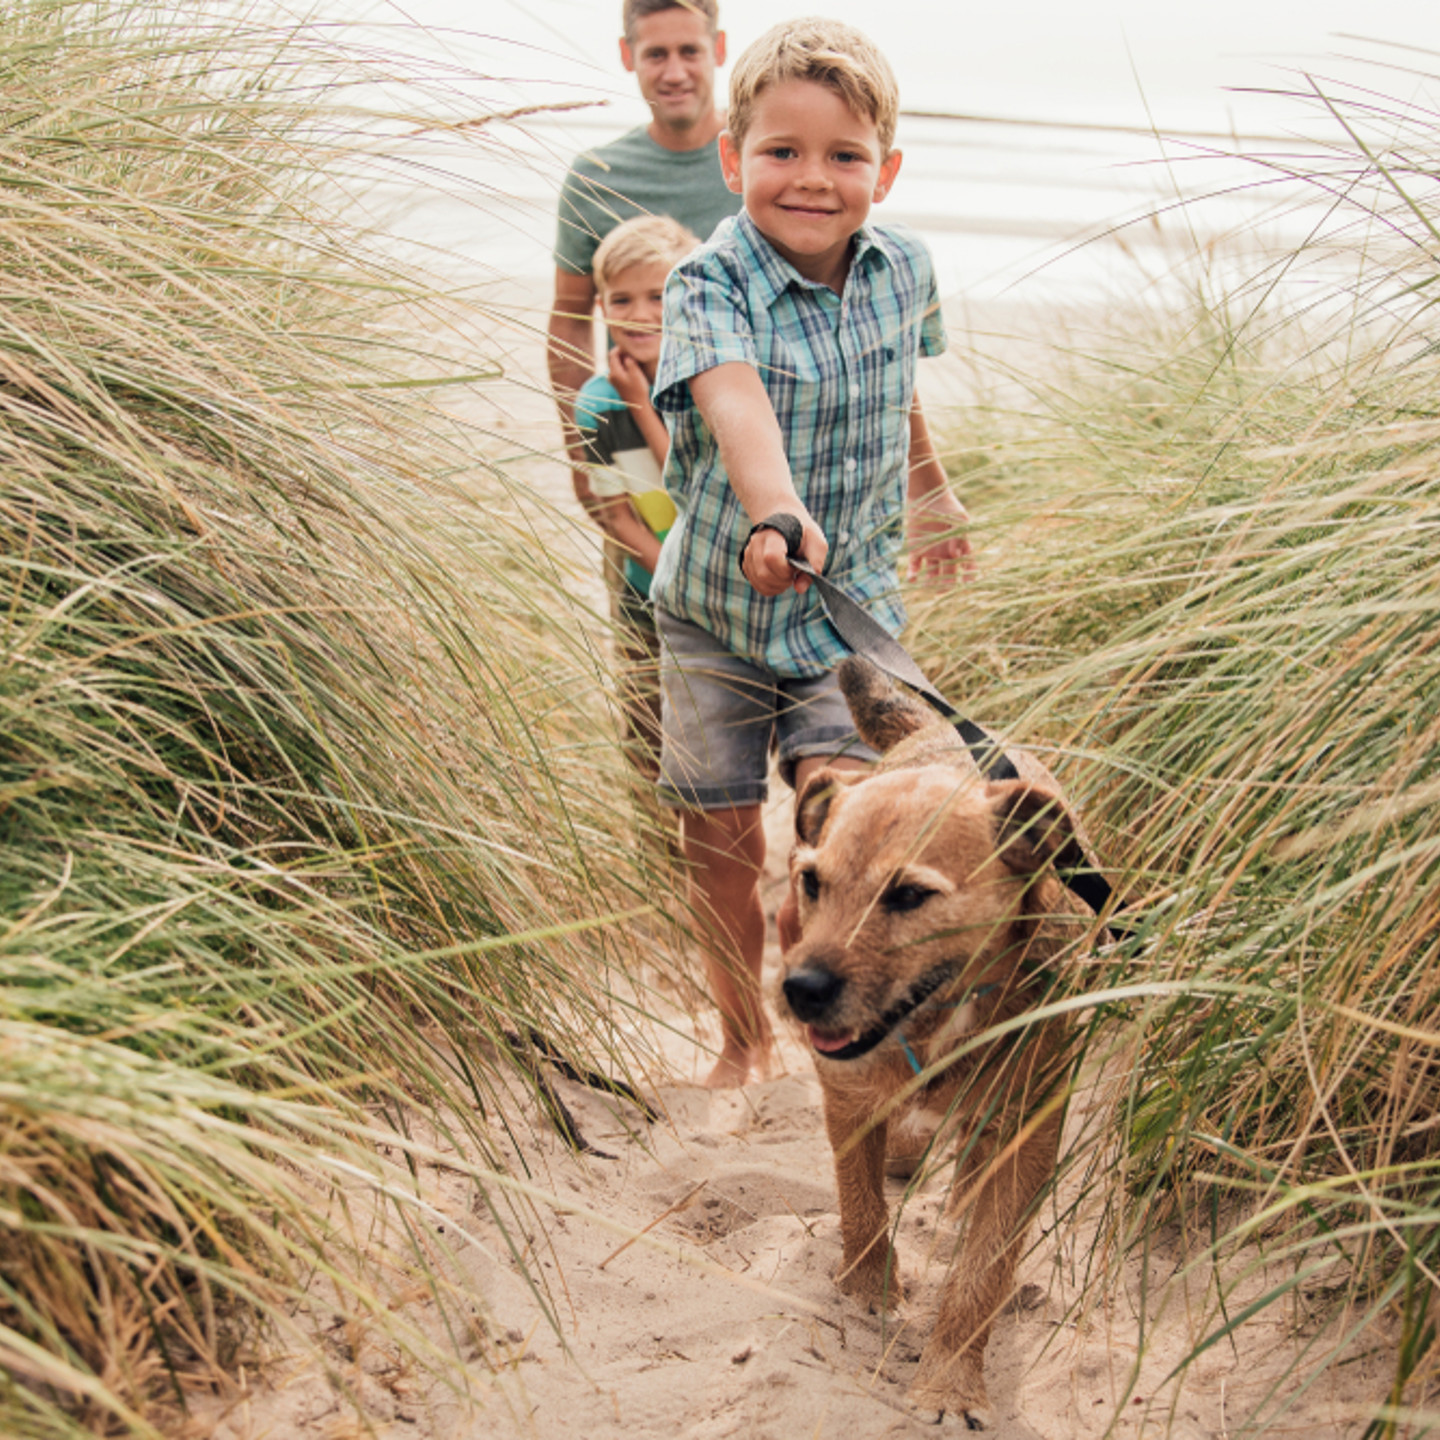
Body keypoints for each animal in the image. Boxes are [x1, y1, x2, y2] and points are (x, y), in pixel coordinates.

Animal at [777, 659, 1088, 1428]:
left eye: (909, 896)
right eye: (811, 881)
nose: (799, 989)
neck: (936, 1026)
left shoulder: (1026, 1138)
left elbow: (983, 1272)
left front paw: (949, 1381)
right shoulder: (848, 1100)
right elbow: (860, 1205)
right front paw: (868, 1290)